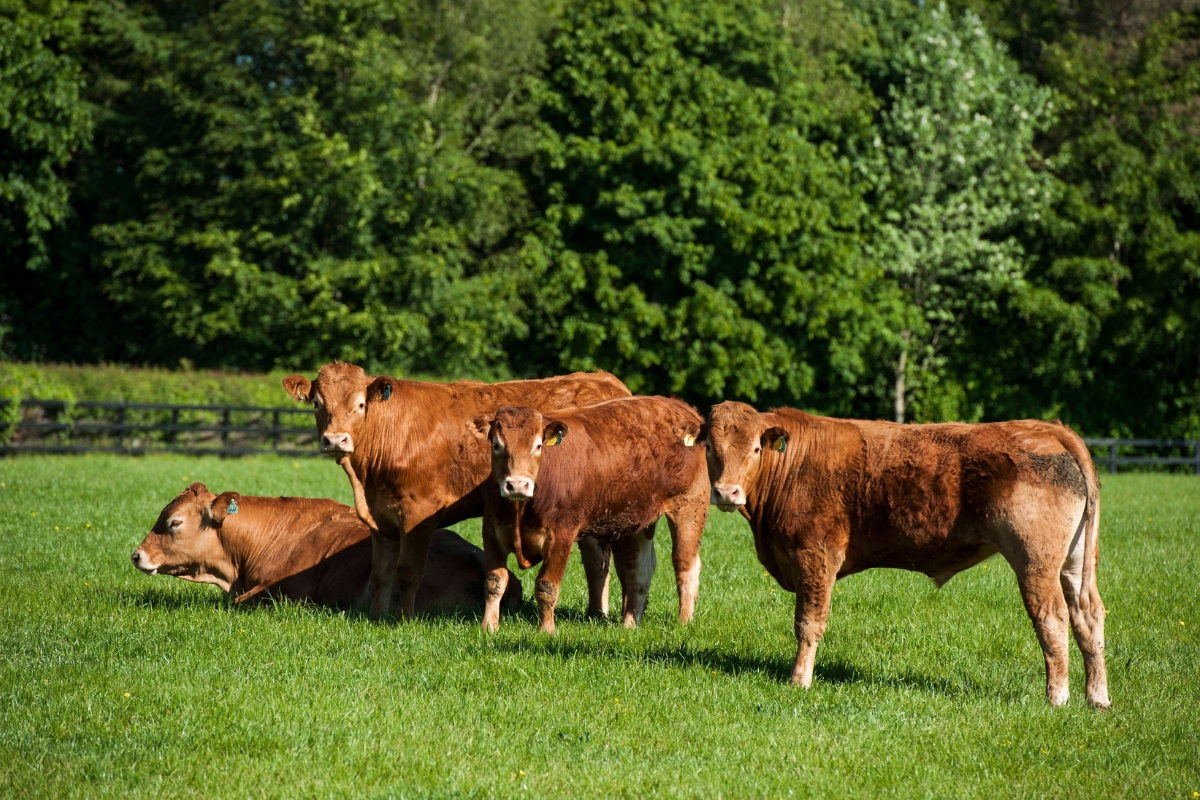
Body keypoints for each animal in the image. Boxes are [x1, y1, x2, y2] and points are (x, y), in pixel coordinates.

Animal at [282, 362, 634, 620]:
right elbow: (381, 572)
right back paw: (596, 612)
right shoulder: (379, 518)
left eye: (360, 404)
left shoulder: (418, 514)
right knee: (597, 559)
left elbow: (408, 571)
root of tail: (605, 380)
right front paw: (377, 615)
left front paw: (404, 619)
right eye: (317, 403)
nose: (335, 440)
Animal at [470, 396, 710, 634]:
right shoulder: (491, 532)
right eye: (496, 445)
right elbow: (494, 582)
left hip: (690, 506)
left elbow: (546, 586)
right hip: (639, 519)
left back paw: (684, 621)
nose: (517, 485)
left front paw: (546, 629)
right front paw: (488, 625)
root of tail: (681, 407)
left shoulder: (561, 536)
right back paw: (630, 623)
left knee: (684, 564)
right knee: (640, 571)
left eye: (538, 445)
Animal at [702, 401, 1110, 708]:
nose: (726, 492)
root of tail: (1046, 428)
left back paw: (1057, 696)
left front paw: (799, 680)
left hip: (1035, 561)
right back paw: (1097, 698)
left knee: (1051, 616)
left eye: (755, 449)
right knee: (1087, 614)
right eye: (709, 448)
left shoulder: (815, 554)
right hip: (1074, 561)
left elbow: (808, 623)